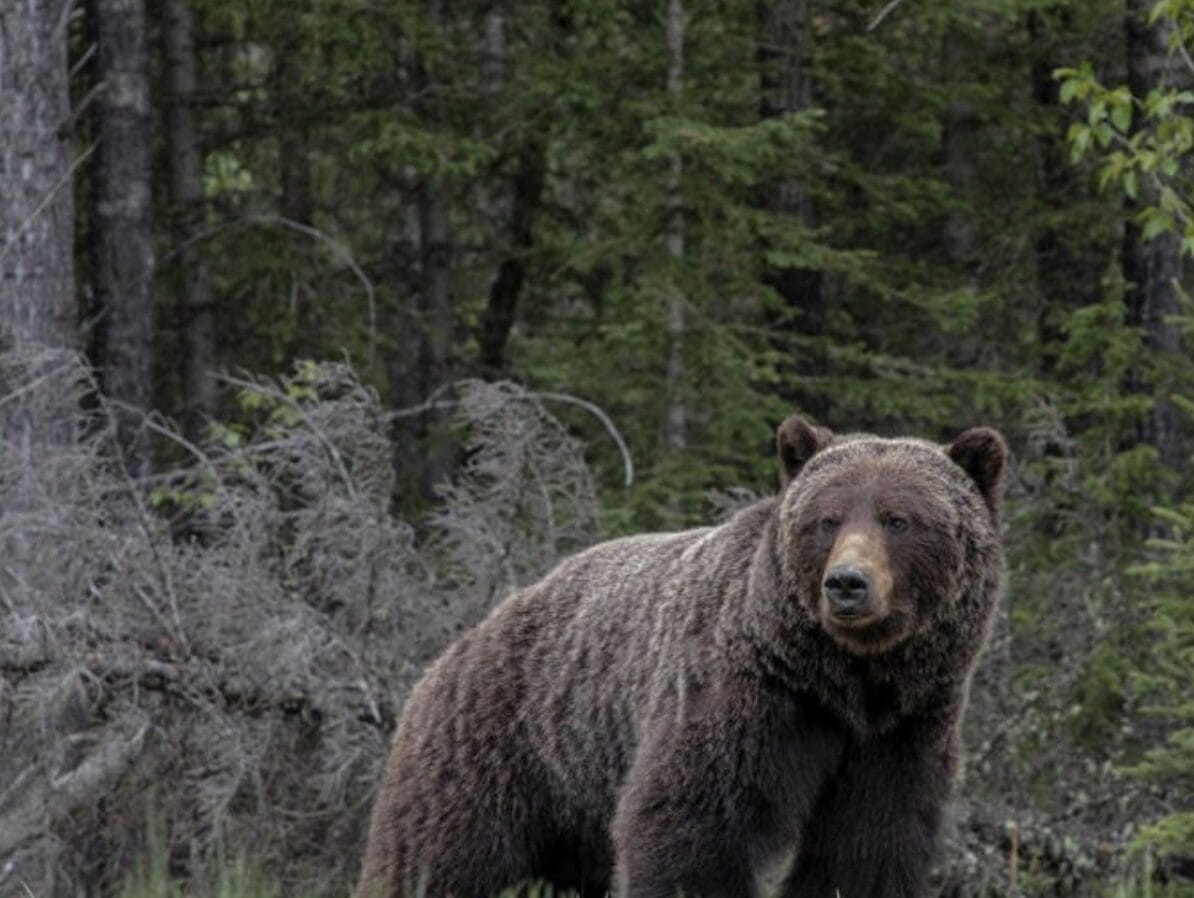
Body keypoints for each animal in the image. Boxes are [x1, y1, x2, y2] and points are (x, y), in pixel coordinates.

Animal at [355, 416, 1006, 898]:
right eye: (827, 520)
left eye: (899, 519)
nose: (847, 584)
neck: (848, 680)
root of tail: (457, 647)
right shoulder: (745, 692)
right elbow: (693, 821)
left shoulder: (900, 731)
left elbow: (868, 841)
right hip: (497, 749)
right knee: (433, 858)